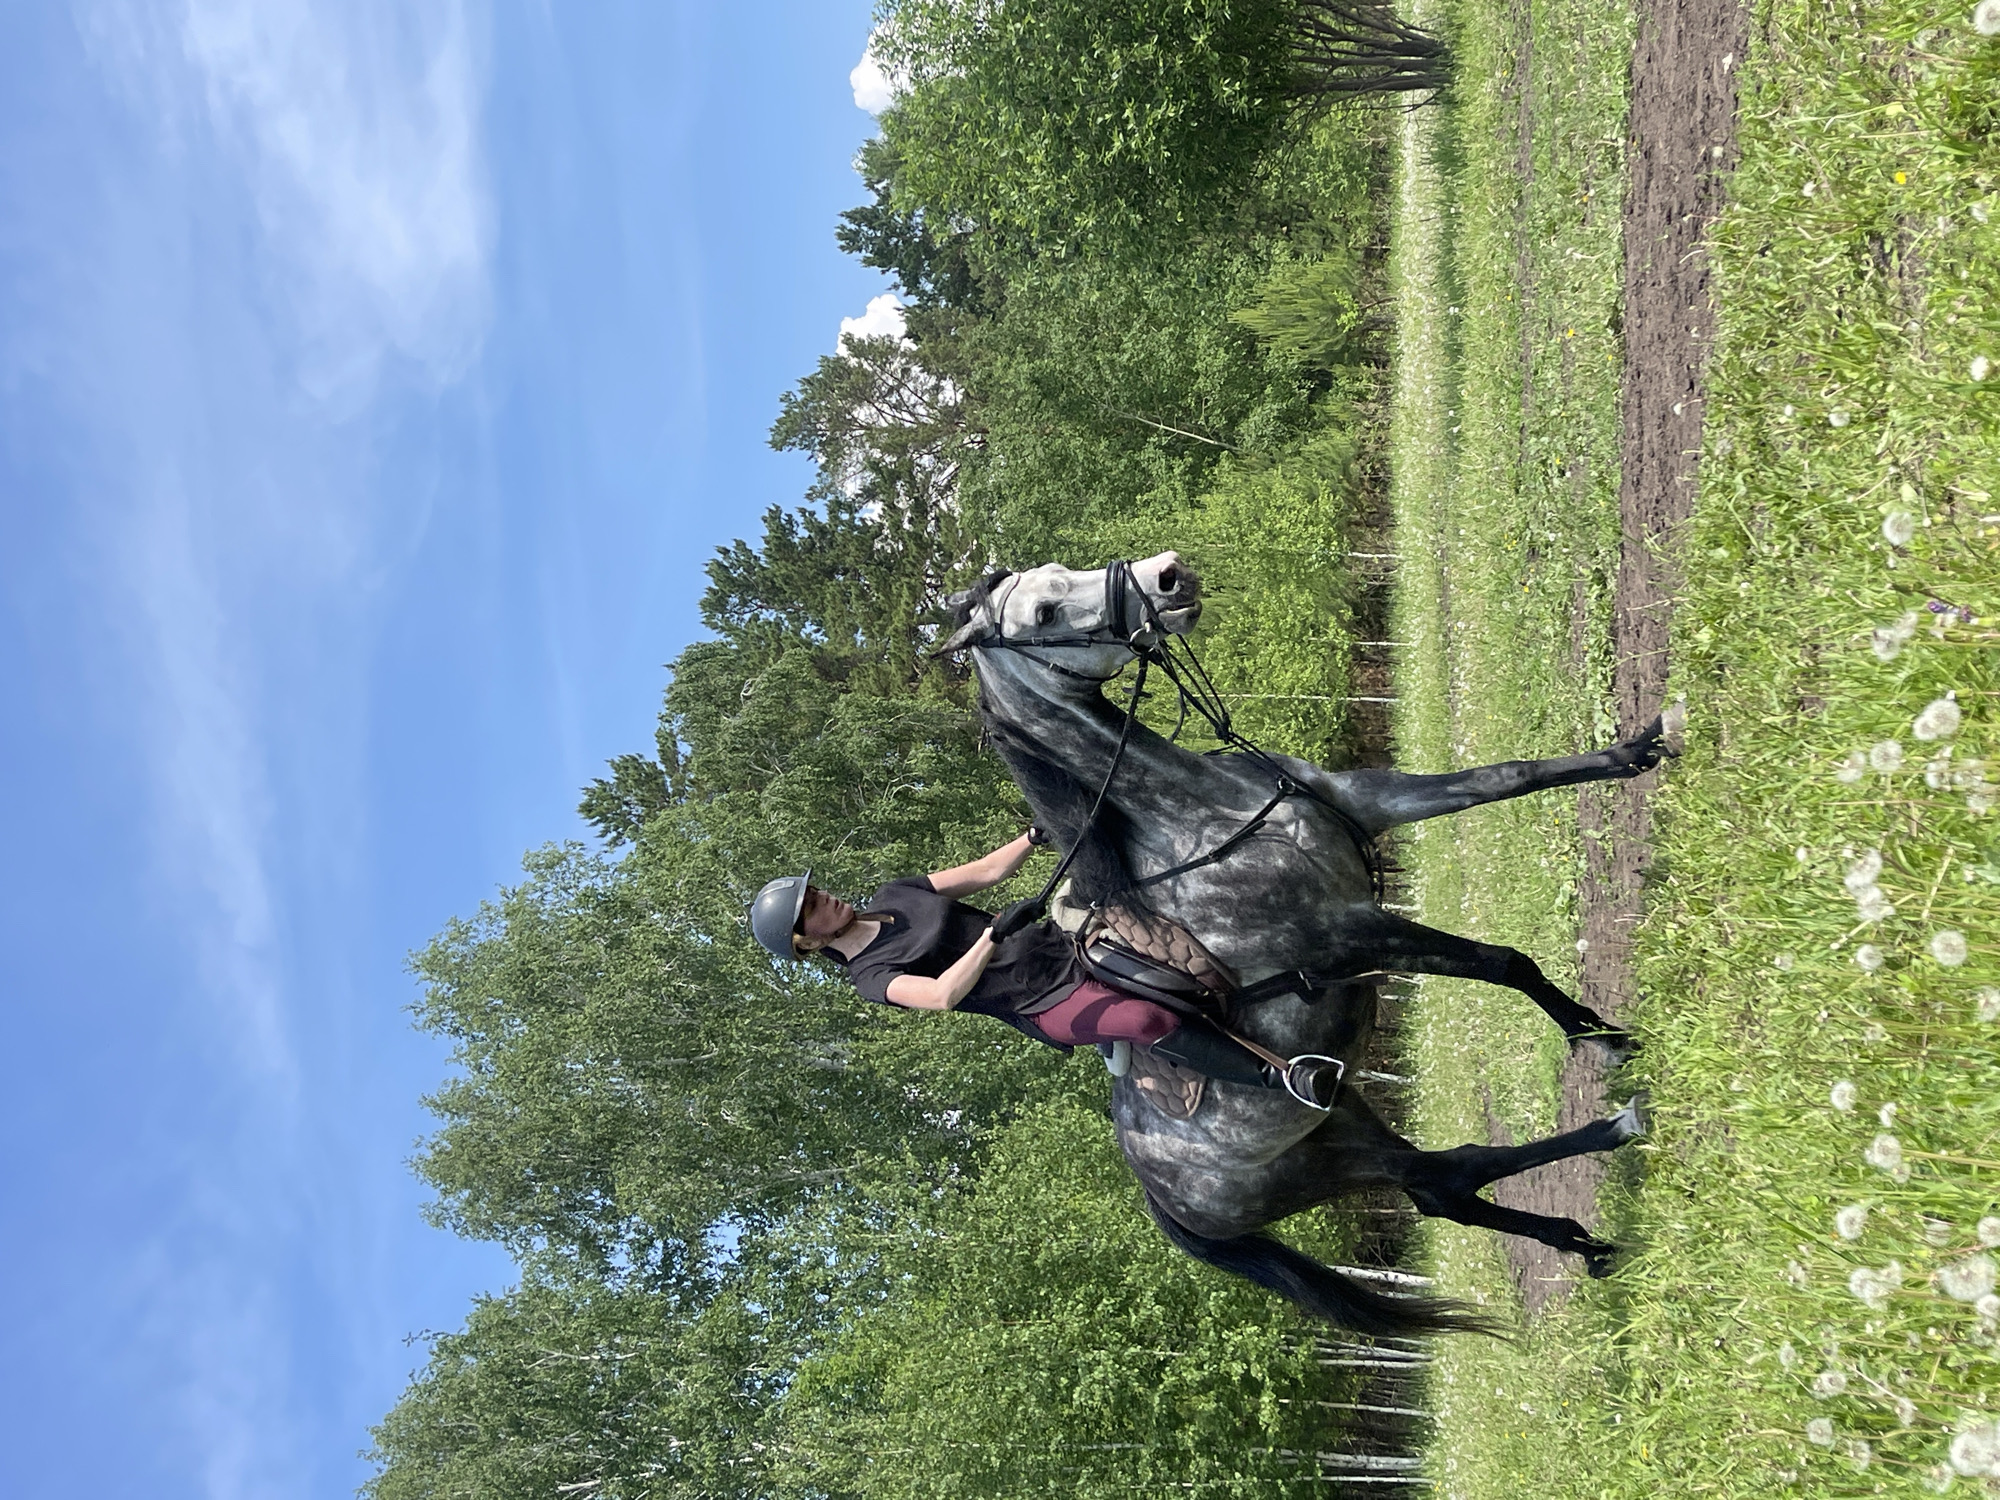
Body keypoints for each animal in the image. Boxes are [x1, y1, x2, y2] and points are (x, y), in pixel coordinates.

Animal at [941, 551, 1672, 1336]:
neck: (1204, 816)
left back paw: (1589, 1243)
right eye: (1042, 615)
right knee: (1445, 1175)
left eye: (1059, 570)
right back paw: (1617, 1137)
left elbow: (1507, 778)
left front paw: (1640, 747)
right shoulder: (1350, 937)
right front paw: (1604, 1039)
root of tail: (1159, 1192)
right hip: (1321, 1164)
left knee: (1441, 1189)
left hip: (1340, 1127)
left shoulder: (1374, 800)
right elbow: (1503, 962)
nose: (1167, 575)